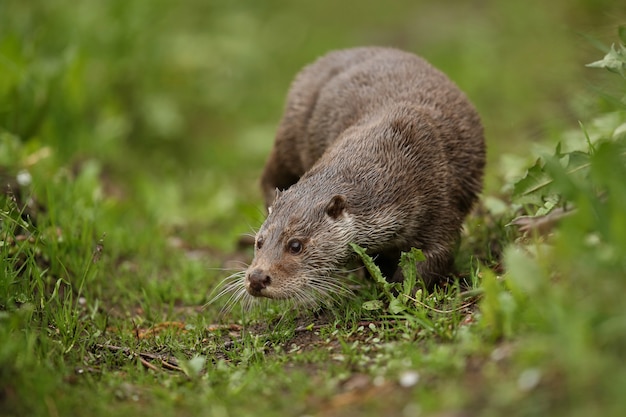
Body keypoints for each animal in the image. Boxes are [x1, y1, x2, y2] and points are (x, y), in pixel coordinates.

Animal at [239, 47, 482, 304]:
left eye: (295, 245)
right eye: (259, 242)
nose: (257, 278)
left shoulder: (440, 204)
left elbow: (434, 257)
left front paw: (397, 292)